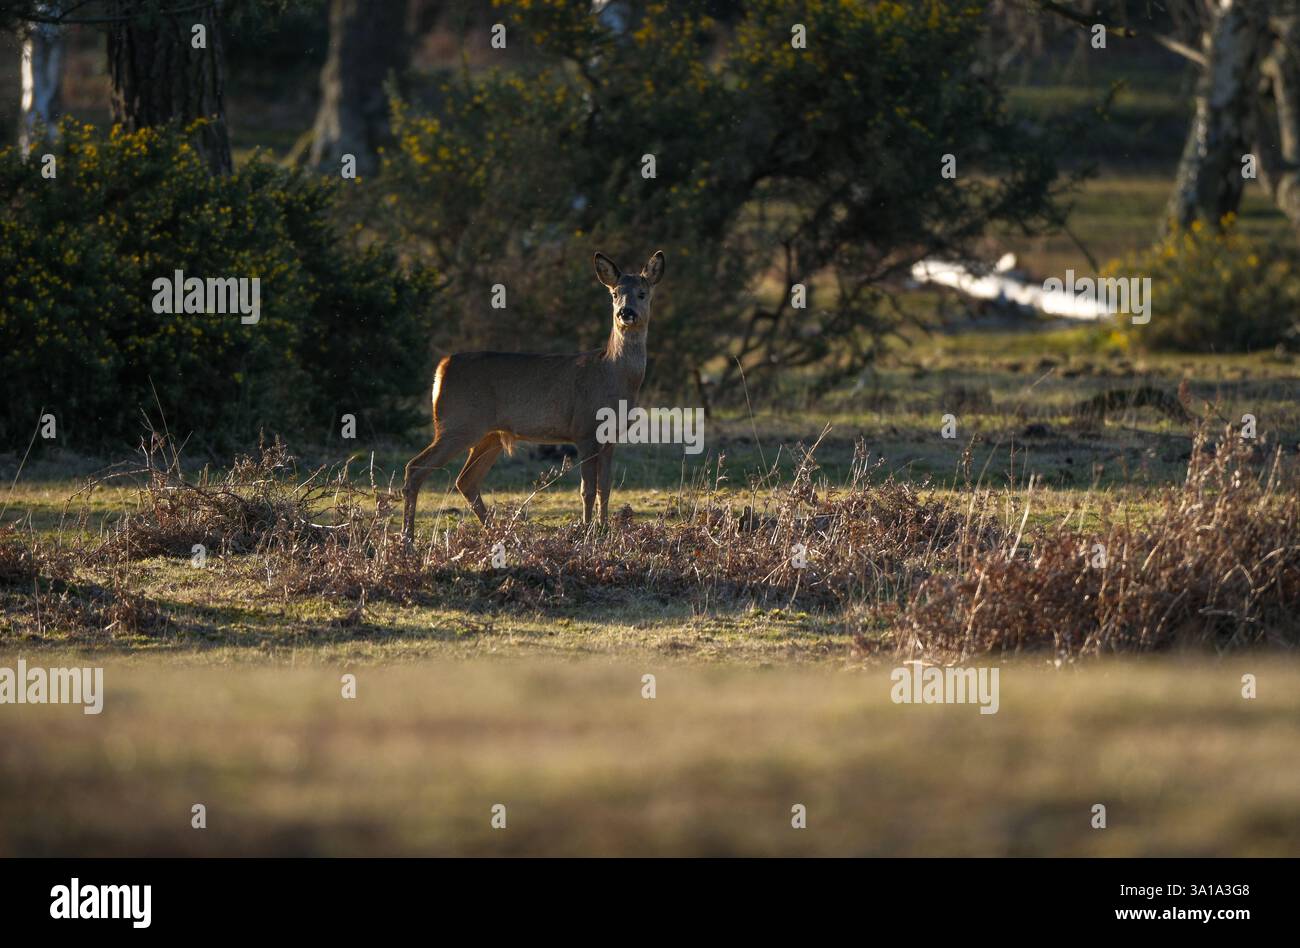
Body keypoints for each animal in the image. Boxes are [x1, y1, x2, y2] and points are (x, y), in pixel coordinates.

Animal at [401, 250, 665, 542]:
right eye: (615, 293)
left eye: (642, 293)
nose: (625, 313)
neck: (612, 374)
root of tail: (442, 368)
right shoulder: (584, 429)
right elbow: (586, 489)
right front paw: (587, 532)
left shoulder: (611, 437)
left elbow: (604, 488)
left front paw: (604, 530)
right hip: (459, 424)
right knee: (416, 468)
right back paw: (408, 539)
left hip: (489, 434)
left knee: (465, 480)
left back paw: (496, 532)